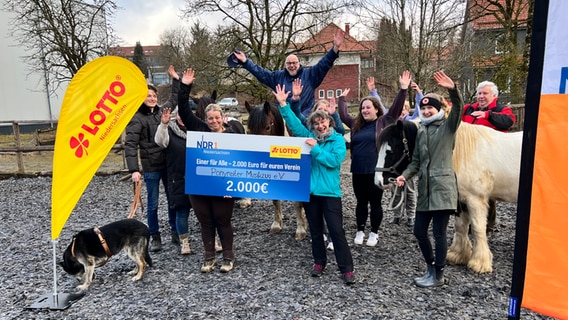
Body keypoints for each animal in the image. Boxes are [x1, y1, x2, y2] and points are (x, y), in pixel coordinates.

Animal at [241, 100, 308, 240]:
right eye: (249, 130)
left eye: (267, 127)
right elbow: (275, 200)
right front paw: (277, 224)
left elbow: (297, 203)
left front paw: (300, 229)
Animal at [374, 121, 520, 274]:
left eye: (391, 150)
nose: (378, 181)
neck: (462, 153)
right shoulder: (462, 200)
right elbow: (460, 226)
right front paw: (458, 255)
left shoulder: (475, 199)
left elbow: (478, 228)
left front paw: (479, 263)